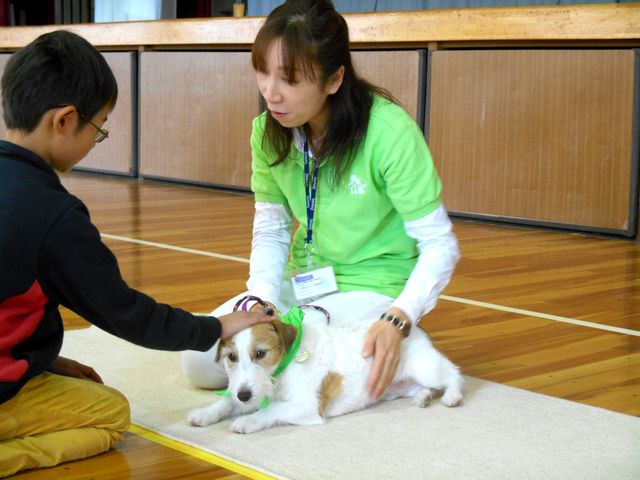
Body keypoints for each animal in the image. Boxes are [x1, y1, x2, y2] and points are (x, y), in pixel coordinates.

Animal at [188, 314, 462, 434]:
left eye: (260, 353)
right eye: (231, 357)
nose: (243, 396)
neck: (283, 368)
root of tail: (413, 328)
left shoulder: (308, 406)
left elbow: (271, 410)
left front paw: (247, 421)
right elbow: (226, 402)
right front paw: (205, 413)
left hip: (426, 368)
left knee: (453, 374)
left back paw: (452, 396)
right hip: (395, 386)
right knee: (419, 388)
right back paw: (422, 397)